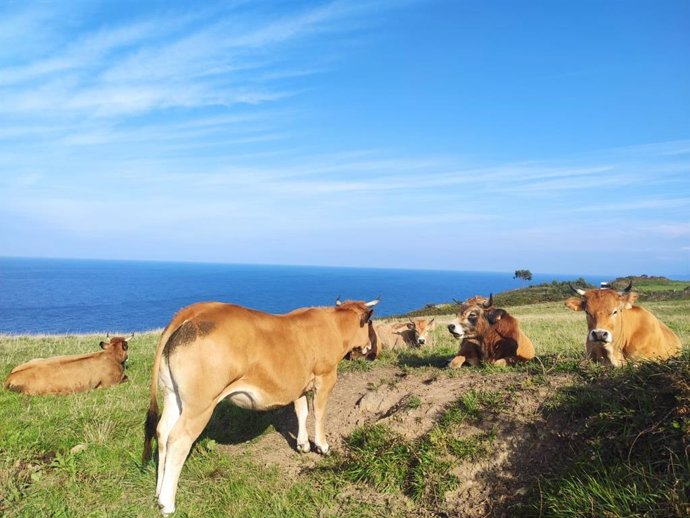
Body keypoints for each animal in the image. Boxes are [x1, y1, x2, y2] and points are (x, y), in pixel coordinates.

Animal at [142, 296, 378, 516]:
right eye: (370, 322)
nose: (374, 350)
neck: (334, 326)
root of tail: (195, 311)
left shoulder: (298, 384)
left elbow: (302, 412)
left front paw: (303, 444)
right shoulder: (326, 376)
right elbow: (319, 413)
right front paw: (323, 446)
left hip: (173, 395)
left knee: (163, 431)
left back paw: (158, 492)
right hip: (200, 404)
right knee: (178, 439)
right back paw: (167, 503)